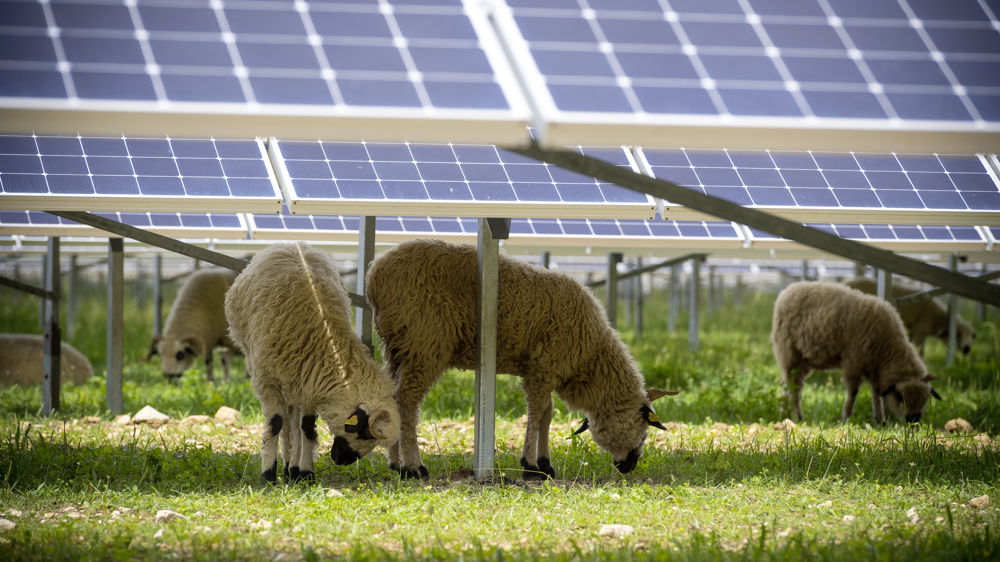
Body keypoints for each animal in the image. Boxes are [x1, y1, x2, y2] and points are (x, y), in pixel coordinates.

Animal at [225, 242, 400, 482]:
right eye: (362, 432)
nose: (341, 460)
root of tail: (292, 244)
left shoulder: (309, 380)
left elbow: (306, 427)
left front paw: (305, 472)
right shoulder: (266, 378)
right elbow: (275, 424)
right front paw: (268, 475)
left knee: (293, 420)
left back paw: (291, 468)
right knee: (285, 421)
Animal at [364, 238, 668, 480]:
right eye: (644, 432)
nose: (630, 466)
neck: (592, 358)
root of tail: (374, 276)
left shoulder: (540, 371)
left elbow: (546, 414)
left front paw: (545, 464)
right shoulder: (544, 369)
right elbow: (537, 413)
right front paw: (530, 465)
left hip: (397, 348)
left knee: (393, 397)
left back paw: (395, 463)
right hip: (425, 344)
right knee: (407, 401)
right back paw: (413, 466)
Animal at [768, 278, 940, 420]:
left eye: (925, 400)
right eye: (901, 397)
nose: (913, 421)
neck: (888, 348)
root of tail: (787, 290)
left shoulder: (874, 369)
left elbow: (876, 394)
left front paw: (880, 420)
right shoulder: (853, 362)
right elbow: (853, 393)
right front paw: (846, 418)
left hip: (804, 361)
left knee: (788, 384)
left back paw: (786, 412)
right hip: (789, 353)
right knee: (794, 388)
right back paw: (797, 416)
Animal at [844, 276, 976, 354]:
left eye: (972, 335)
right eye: (958, 334)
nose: (967, 349)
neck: (938, 318)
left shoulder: (914, 330)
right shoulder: (920, 329)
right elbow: (920, 351)